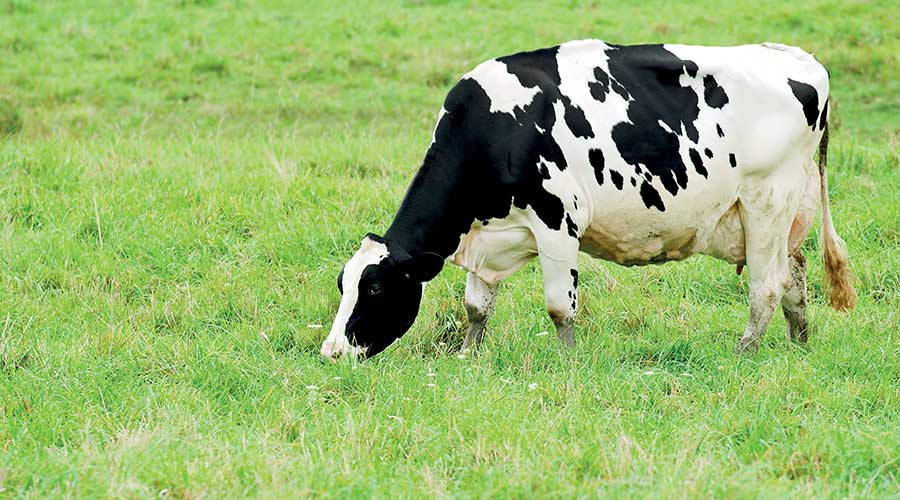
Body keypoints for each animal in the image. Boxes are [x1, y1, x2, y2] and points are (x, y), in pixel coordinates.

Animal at [320, 40, 856, 360]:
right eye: (344, 284)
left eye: (375, 290)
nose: (330, 352)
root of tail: (799, 58)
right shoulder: (487, 236)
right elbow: (475, 307)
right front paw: (469, 357)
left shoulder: (558, 221)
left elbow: (560, 307)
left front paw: (567, 362)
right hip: (782, 214)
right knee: (795, 274)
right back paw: (800, 348)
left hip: (767, 200)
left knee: (766, 287)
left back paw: (743, 354)